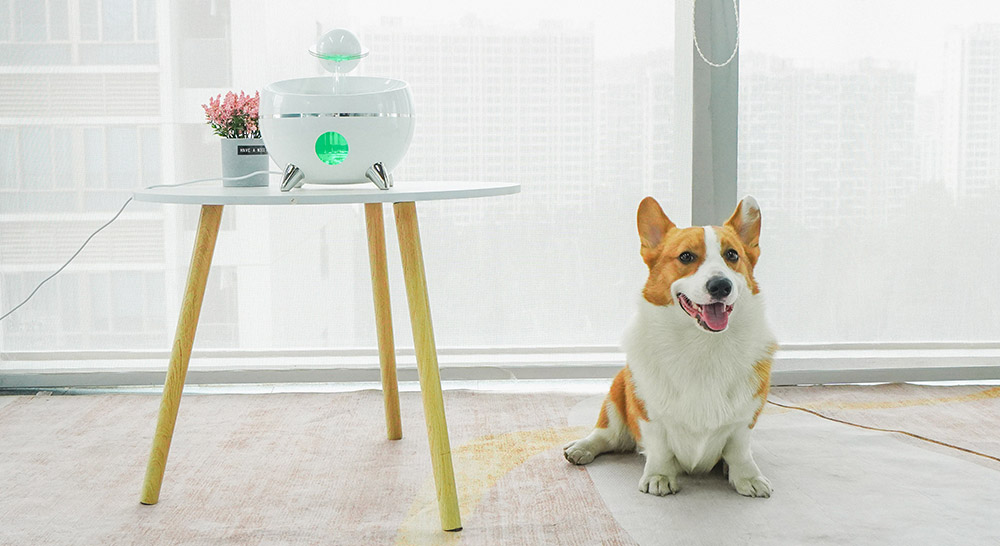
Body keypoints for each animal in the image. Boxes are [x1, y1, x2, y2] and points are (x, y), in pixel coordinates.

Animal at [568, 197, 776, 498]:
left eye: (732, 255)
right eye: (686, 257)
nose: (721, 286)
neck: (702, 343)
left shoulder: (745, 417)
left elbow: (739, 450)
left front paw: (747, 477)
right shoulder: (649, 413)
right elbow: (660, 449)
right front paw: (659, 476)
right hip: (618, 390)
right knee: (607, 435)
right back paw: (581, 448)